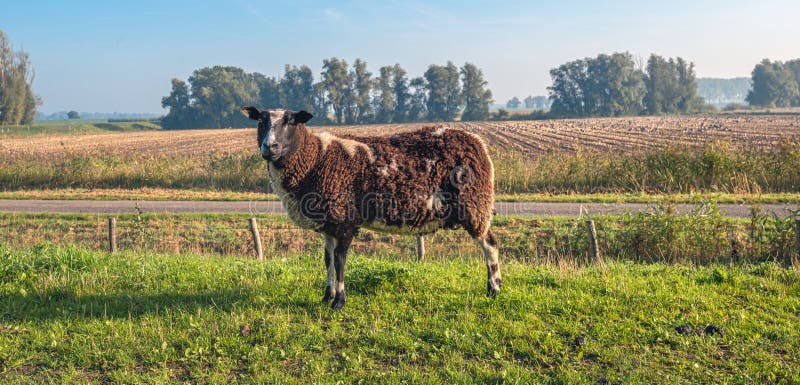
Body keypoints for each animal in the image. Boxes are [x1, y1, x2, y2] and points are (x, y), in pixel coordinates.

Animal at [239, 106, 500, 308]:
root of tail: (479, 144)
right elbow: (327, 260)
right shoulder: (329, 225)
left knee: (490, 245)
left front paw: (339, 302)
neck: (316, 159)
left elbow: (340, 260)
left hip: (474, 205)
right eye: (261, 120)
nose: (270, 147)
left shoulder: (344, 220)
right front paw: (326, 297)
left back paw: (494, 289)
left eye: (291, 121)